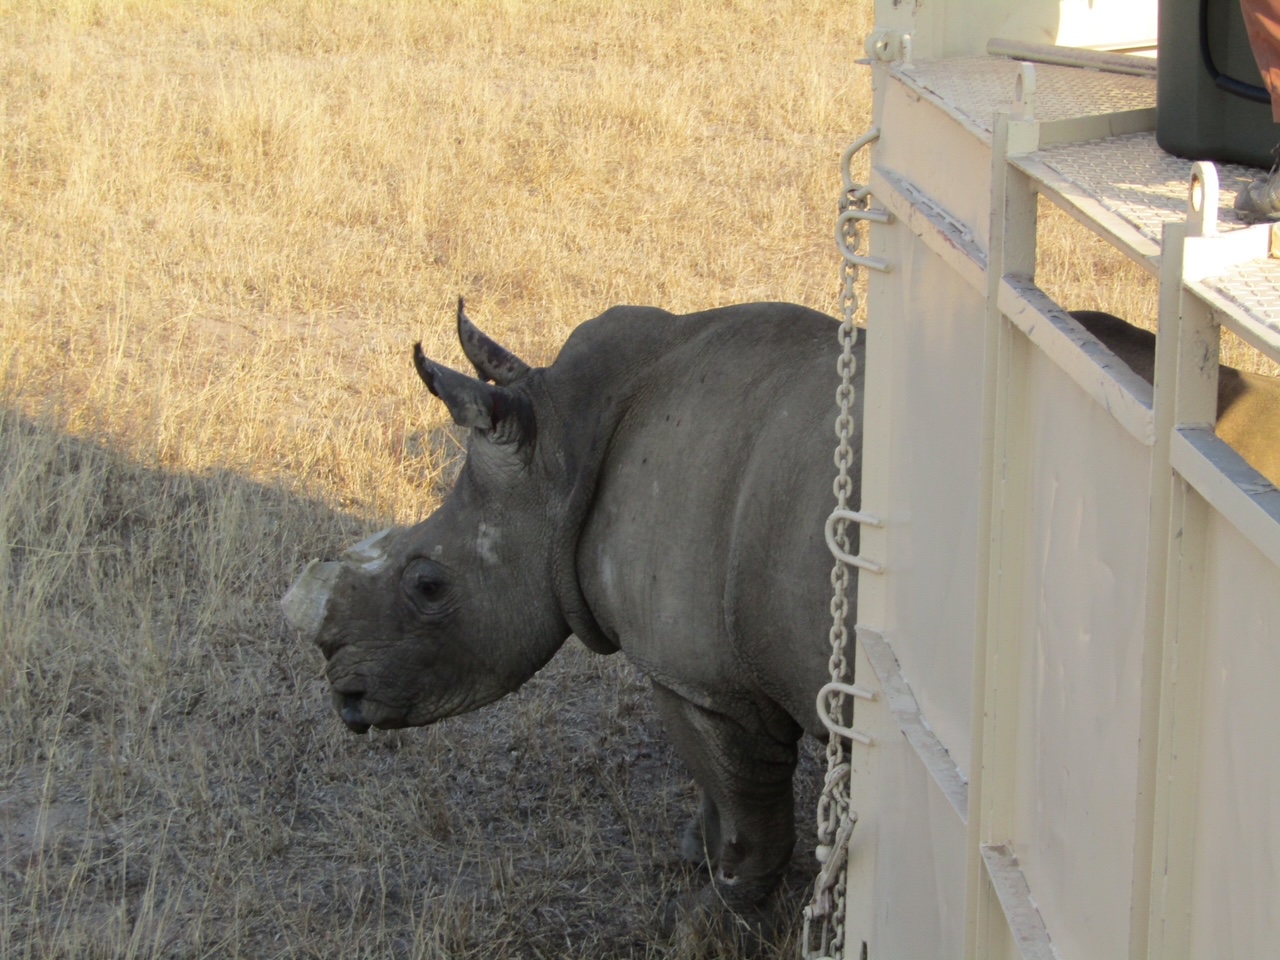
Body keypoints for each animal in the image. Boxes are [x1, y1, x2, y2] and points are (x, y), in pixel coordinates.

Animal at [280, 302, 860, 926]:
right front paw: (695, 854)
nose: (346, 697)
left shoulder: (709, 682)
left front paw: (704, 920)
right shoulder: (705, 672)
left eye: (429, 587)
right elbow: (716, 786)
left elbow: (751, 815)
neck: (564, 437)